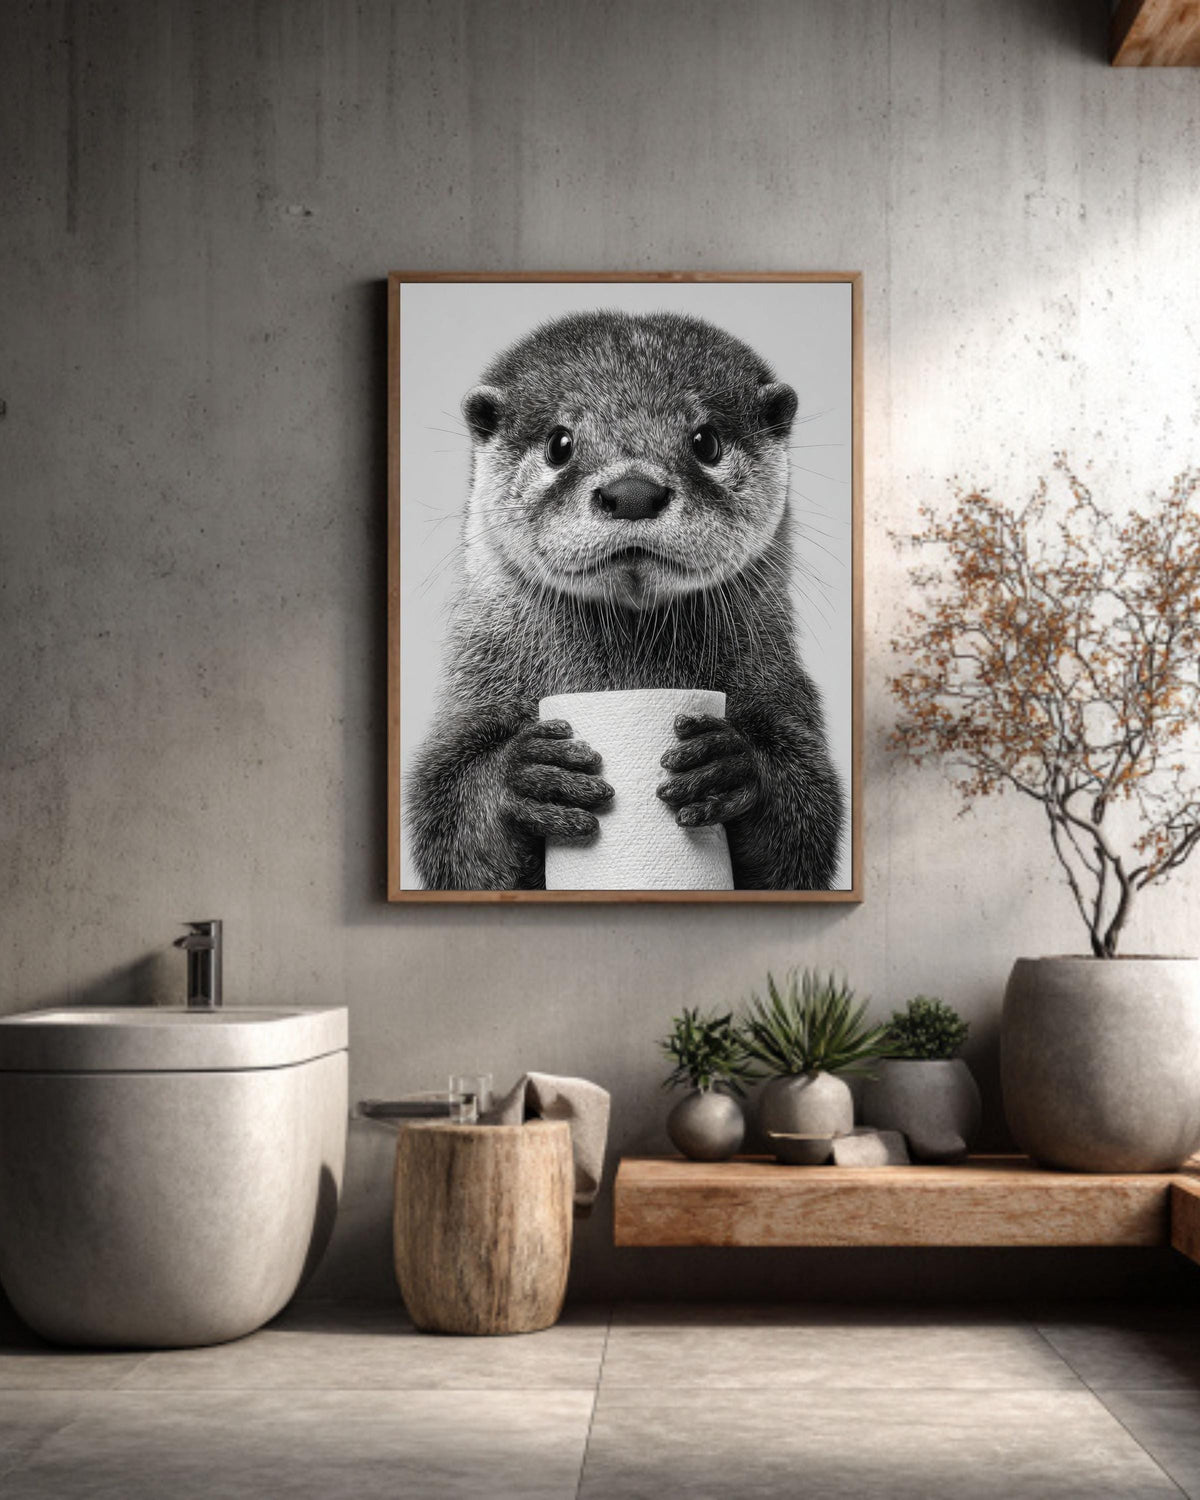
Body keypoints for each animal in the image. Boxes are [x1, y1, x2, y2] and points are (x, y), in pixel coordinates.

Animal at [407, 309, 844, 891]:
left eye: (705, 441)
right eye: (560, 443)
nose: (633, 492)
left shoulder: (786, 693)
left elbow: (805, 834)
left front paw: (734, 764)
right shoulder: (471, 696)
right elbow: (451, 830)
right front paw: (522, 777)